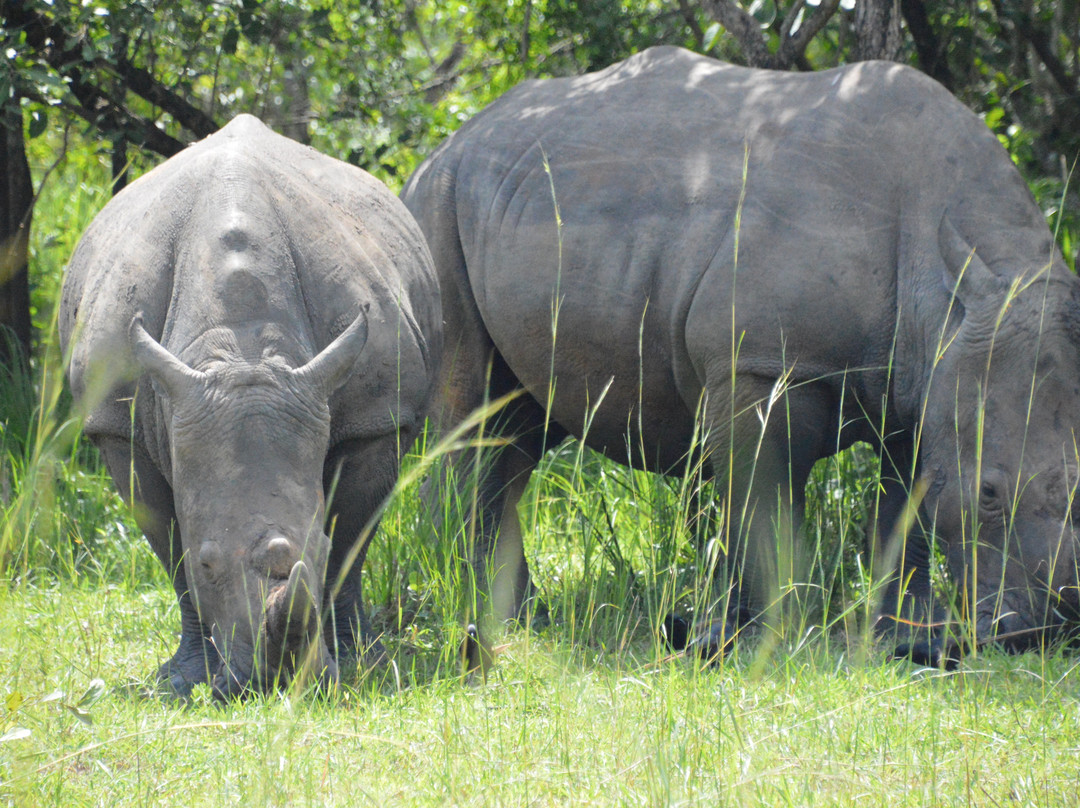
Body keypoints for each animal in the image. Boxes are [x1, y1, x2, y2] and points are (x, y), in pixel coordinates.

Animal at [58, 111, 438, 695]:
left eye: (318, 550)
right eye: (209, 565)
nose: (278, 684)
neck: (241, 350)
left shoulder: (376, 416)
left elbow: (350, 538)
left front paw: (357, 661)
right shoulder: (117, 426)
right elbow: (170, 549)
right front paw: (186, 678)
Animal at [403, 45, 1080, 661]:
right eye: (989, 493)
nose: (1044, 632)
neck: (953, 291)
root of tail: (445, 142)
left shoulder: (923, 384)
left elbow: (905, 510)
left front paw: (907, 638)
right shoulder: (760, 364)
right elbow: (762, 507)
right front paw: (764, 640)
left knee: (517, 431)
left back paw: (523, 617)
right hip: (437, 204)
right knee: (472, 414)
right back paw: (476, 617)